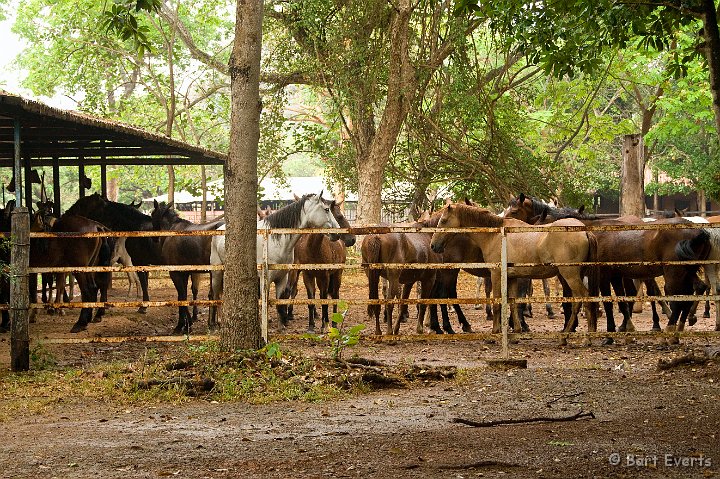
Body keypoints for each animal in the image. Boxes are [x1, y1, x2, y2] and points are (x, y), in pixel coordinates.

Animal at [210, 190, 342, 330]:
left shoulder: (282, 278)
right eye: (326, 209)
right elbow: (264, 301)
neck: (276, 241)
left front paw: (281, 326)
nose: (337, 233)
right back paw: (215, 323)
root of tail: (219, 229)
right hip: (216, 273)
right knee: (215, 296)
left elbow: (280, 302)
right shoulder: (266, 279)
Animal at [284, 197, 358, 332]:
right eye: (339, 216)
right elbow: (311, 299)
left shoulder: (325, 276)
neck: (312, 248)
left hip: (337, 275)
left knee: (334, 295)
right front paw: (311, 325)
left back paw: (333, 322)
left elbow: (324, 299)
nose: (352, 239)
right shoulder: (307, 275)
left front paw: (325, 324)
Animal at [430, 204, 600, 336]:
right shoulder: (511, 278)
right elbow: (512, 302)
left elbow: (498, 303)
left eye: (443, 220)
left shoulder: (496, 275)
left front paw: (496, 331)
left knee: (584, 298)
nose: (433, 245)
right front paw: (517, 329)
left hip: (570, 276)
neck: (496, 234)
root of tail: (584, 230)